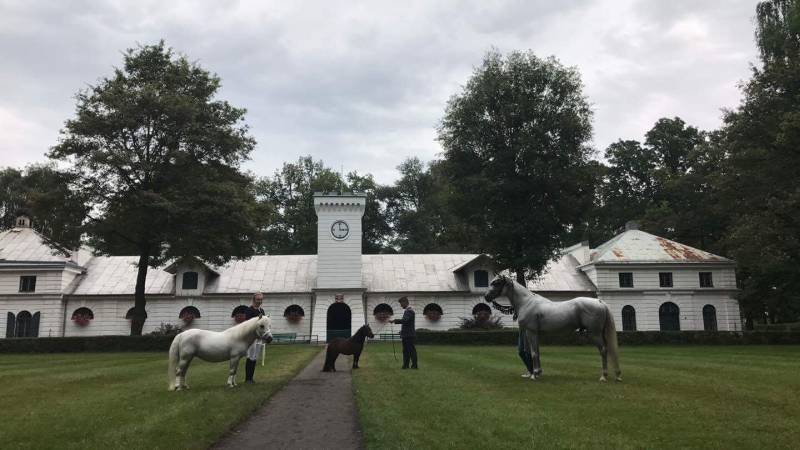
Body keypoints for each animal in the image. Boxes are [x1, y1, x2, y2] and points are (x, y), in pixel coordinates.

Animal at [484, 272, 620, 382]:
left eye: (496, 283)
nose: (486, 296)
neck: (526, 302)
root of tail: (599, 302)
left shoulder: (531, 332)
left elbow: (533, 352)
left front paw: (534, 375)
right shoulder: (533, 333)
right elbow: (536, 351)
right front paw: (538, 372)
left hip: (594, 333)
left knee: (603, 350)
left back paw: (603, 376)